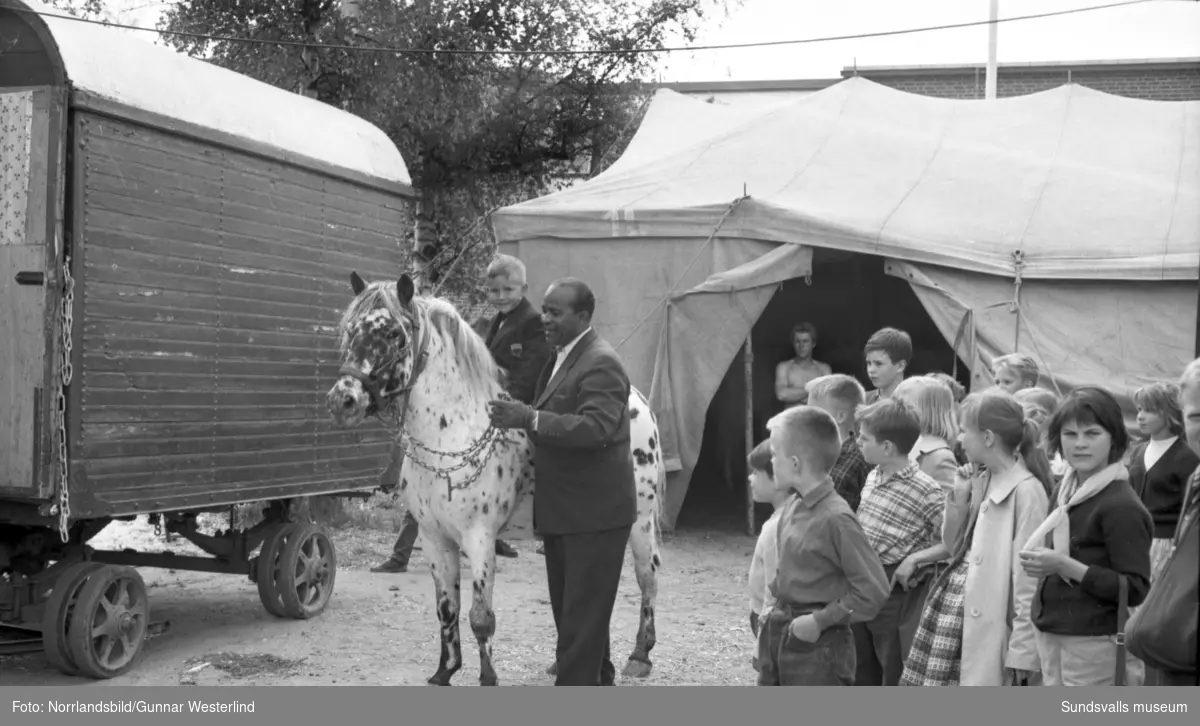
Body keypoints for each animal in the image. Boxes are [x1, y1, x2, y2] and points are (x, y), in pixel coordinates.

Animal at [328, 271, 667, 686]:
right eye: (350, 329)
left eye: (394, 333)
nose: (342, 401)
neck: (452, 434)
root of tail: (636, 399)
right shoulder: (435, 538)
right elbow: (447, 609)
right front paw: (444, 671)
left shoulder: (479, 538)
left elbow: (480, 618)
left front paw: (487, 677)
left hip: (640, 522)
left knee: (646, 578)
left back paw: (640, 655)